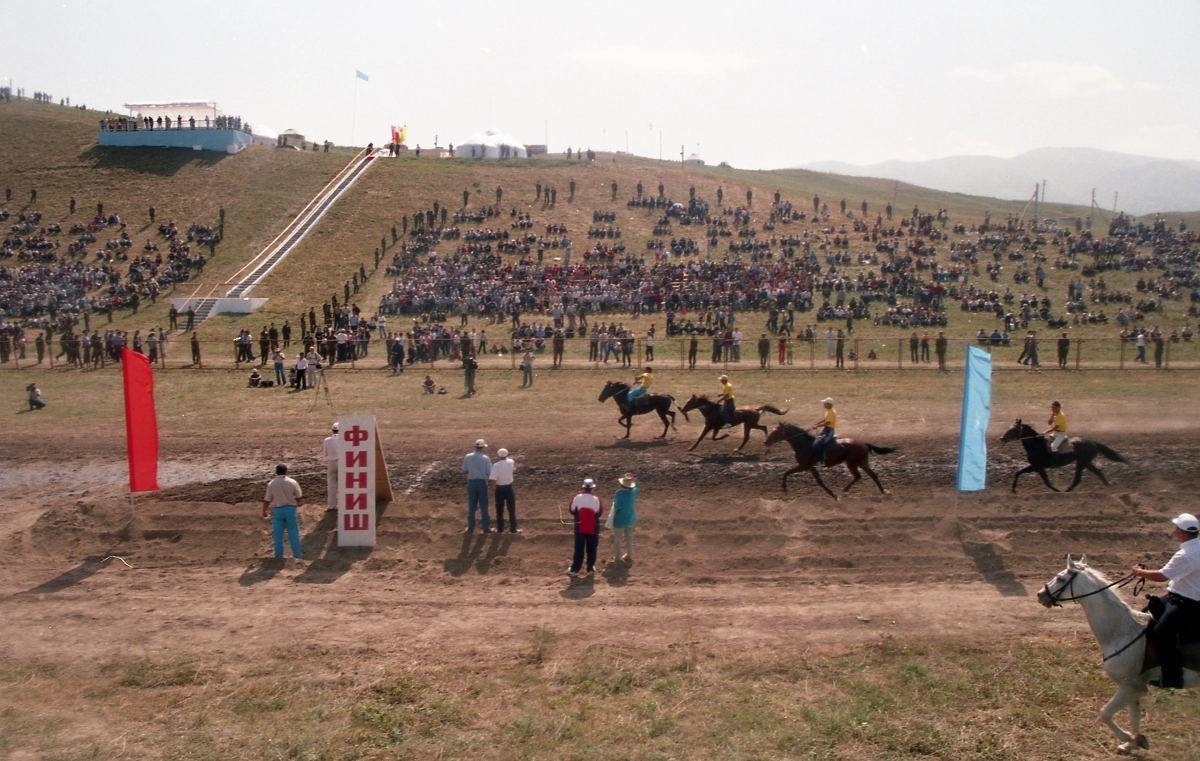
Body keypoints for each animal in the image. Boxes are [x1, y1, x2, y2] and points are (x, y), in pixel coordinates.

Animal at [763, 420, 897, 496]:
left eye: (776, 431)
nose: (766, 442)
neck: (804, 444)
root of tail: (864, 443)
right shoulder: (809, 467)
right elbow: (818, 481)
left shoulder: (804, 466)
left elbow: (788, 473)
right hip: (861, 462)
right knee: (872, 475)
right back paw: (883, 491)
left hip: (852, 463)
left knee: (859, 476)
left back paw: (845, 491)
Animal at [993, 417, 1123, 494]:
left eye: (1013, 429)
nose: (1002, 438)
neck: (1036, 445)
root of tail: (1093, 443)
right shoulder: (1036, 467)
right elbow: (1019, 473)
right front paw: (1013, 490)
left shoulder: (1037, 467)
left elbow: (1046, 481)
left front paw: (1057, 491)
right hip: (1086, 462)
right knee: (1098, 472)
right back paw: (1108, 487)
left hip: (1081, 462)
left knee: (1077, 479)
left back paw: (1066, 491)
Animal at [1036, 552, 1195, 753]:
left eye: (1059, 578)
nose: (1040, 595)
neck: (1122, 629)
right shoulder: (1134, 687)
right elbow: (1134, 716)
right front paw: (1132, 743)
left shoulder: (1131, 687)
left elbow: (1105, 713)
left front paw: (1130, 738)